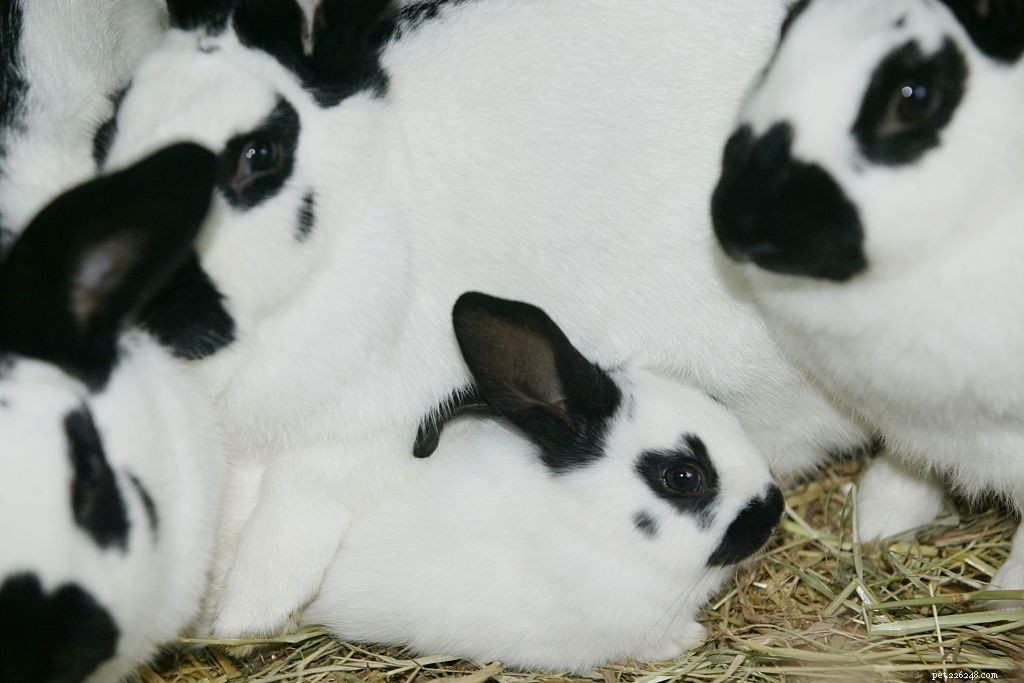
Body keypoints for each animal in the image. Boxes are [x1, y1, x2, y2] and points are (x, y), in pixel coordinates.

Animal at [712, 0, 1024, 590]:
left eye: (914, 97)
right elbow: (912, 461)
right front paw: (876, 520)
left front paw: (1008, 593)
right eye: (786, 29)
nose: (735, 222)